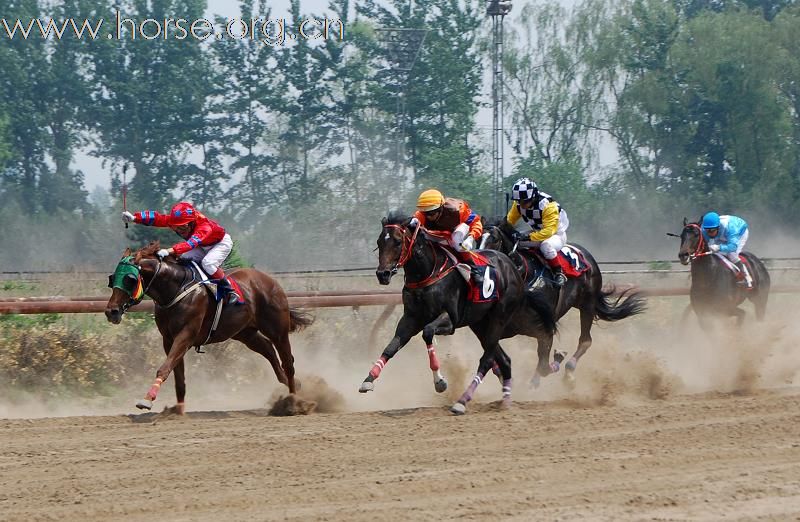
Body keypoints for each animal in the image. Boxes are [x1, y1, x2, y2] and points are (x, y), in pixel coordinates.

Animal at [105, 240, 316, 410]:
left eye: (130, 279)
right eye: (112, 278)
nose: (111, 311)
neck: (177, 289)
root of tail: (271, 281)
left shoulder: (186, 335)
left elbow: (165, 368)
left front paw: (147, 400)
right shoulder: (168, 339)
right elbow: (178, 375)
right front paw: (177, 410)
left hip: (277, 329)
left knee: (288, 362)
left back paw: (294, 402)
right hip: (245, 333)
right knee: (268, 349)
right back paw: (294, 387)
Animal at [360, 212, 556, 414]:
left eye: (398, 242)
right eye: (379, 241)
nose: (382, 274)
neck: (428, 272)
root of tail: (514, 271)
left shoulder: (449, 320)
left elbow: (427, 332)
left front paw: (440, 382)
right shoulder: (411, 318)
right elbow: (392, 346)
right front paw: (368, 380)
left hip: (500, 318)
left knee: (488, 360)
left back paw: (462, 401)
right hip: (480, 324)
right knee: (504, 360)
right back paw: (506, 401)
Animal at [482, 217, 644, 384]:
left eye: (494, 239)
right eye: (478, 237)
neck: (526, 275)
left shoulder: (545, 330)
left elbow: (544, 366)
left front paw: (556, 360)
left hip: (588, 304)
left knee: (585, 340)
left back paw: (569, 372)